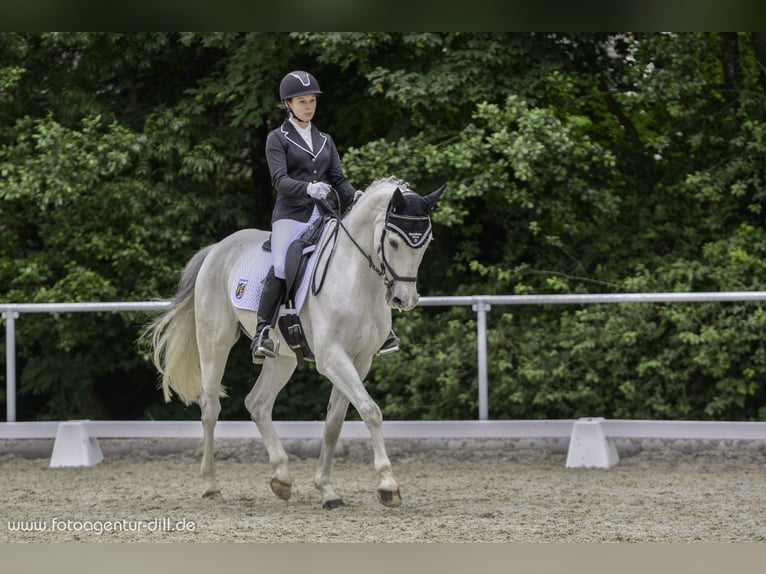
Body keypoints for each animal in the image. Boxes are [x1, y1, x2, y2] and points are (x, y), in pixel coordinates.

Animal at [145, 177, 448, 508]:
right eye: (393, 242)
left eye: (427, 242)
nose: (404, 300)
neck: (356, 279)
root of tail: (218, 248)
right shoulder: (332, 358)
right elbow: (370, 410)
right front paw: (388, 485)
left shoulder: (360, 360)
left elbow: (334, 423)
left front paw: (327, 489)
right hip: (215, 342)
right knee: (210, 408)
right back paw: (211, 485)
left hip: (283, 358)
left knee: (257, 403)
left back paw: (282, 479)